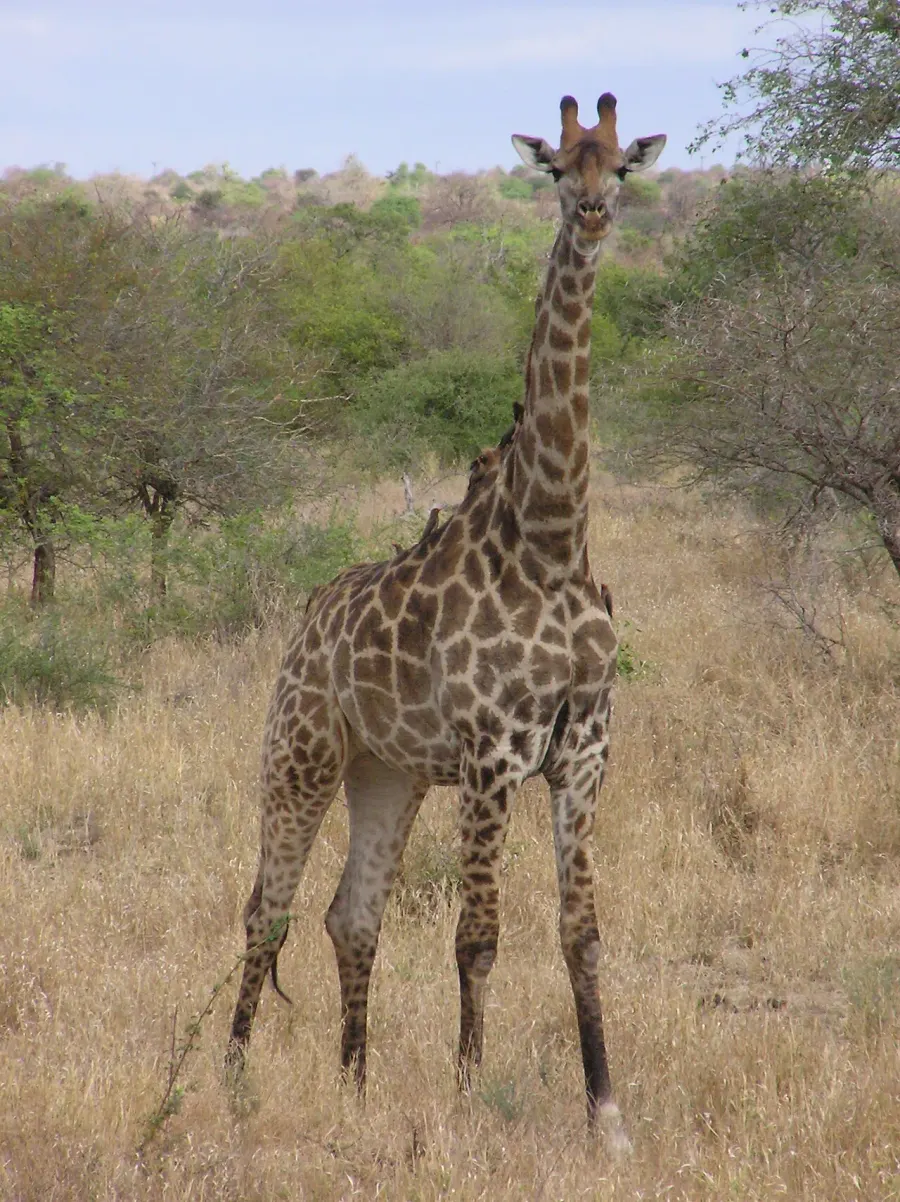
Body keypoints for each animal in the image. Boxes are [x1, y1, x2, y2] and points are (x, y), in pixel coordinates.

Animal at [226, 91, 665, 1146]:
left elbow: (582, 934)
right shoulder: (493, 753)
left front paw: (607, 1114)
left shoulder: (585, 752)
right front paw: (470, 1096)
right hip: (299, 751)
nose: (593, 215)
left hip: (387, 773)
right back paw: (230, 1083)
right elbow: (479, 937)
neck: (551, 540)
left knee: (351, 914)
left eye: (622, 166)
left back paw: (353, 1088)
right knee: (266, 907)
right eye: (557, 168)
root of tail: (304, 622)